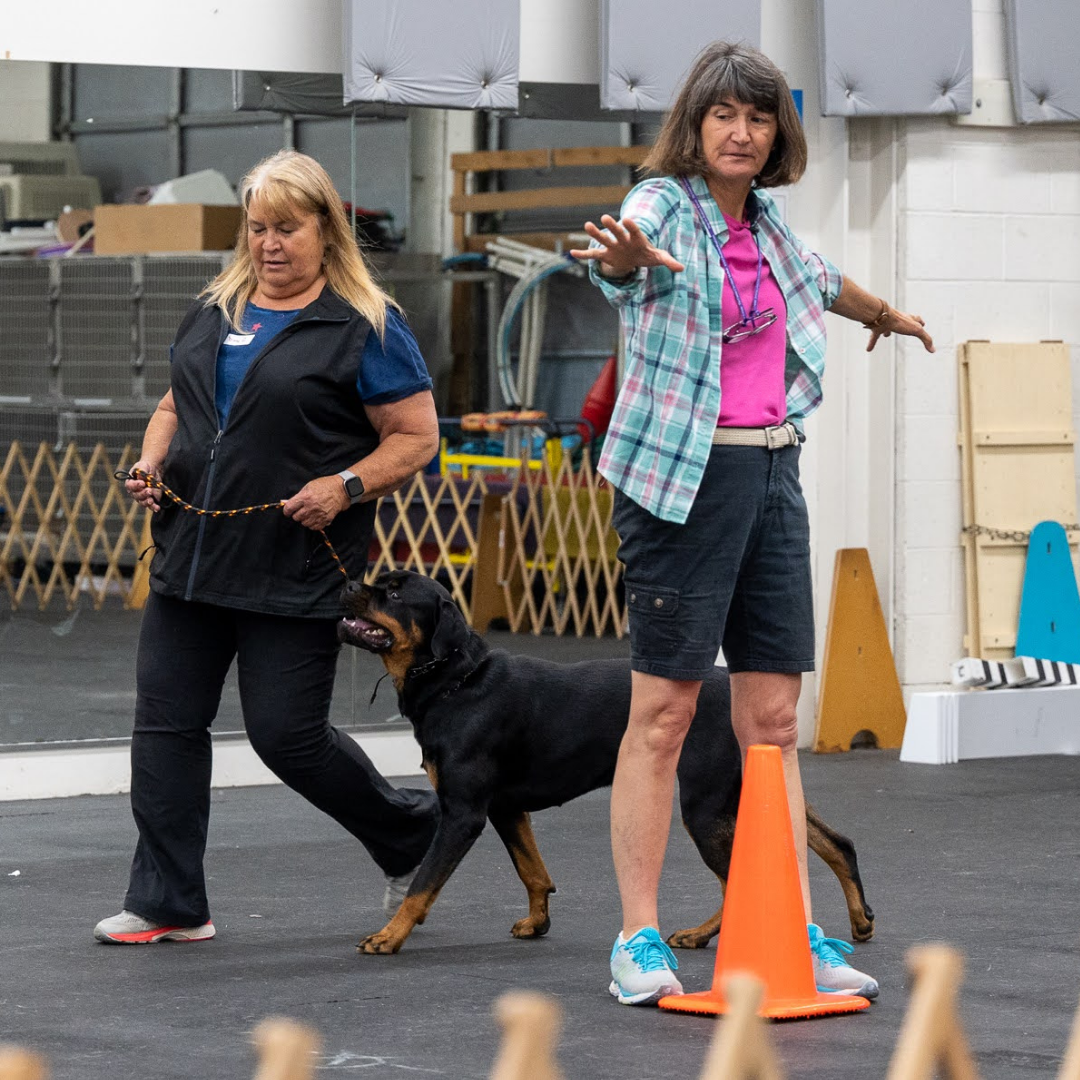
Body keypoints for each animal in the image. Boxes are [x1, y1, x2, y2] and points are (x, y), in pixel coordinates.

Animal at [338, 569, 874, 955]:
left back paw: (703, 934)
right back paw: (859, 919)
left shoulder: (464, 813)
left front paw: (389, 935)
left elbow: (424, 882)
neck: (457, 679)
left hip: (706, 806)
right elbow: (532, 870)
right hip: (749, 784)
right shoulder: (505, 807)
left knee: (737, 878)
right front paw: (538, 921)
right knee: (837, 843)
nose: (346, 585)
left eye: (393, 593)